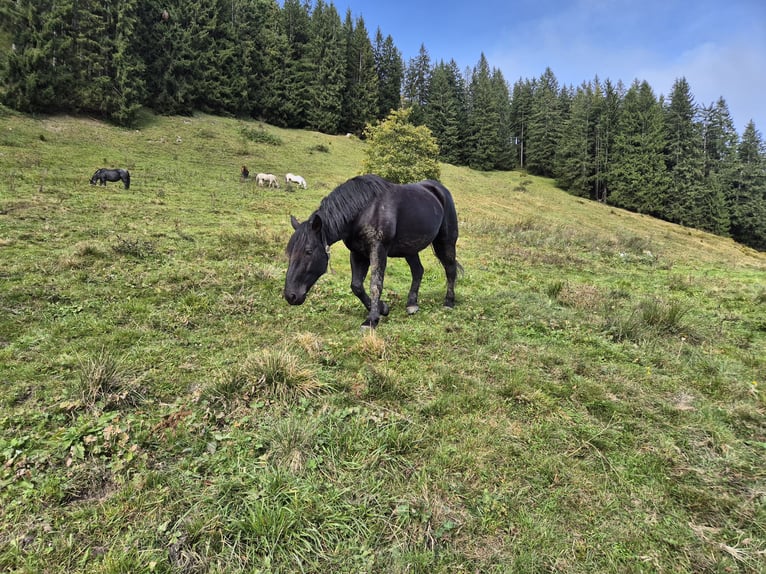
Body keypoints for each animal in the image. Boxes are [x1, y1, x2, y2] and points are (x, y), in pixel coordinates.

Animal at [286, 174, 462, 328]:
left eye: (308, 251)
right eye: (289, 252)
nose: (290, 296)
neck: (364, 210)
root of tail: (439, 189)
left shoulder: (378, 250)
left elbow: (375, 284)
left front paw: (371, 320)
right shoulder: (357, 253)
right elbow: (356, 285)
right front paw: (382, 309)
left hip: (445, 241)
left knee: (450, 269)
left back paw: (448, 302)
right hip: (410, 249)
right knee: (418, 270)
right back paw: (412, 304)